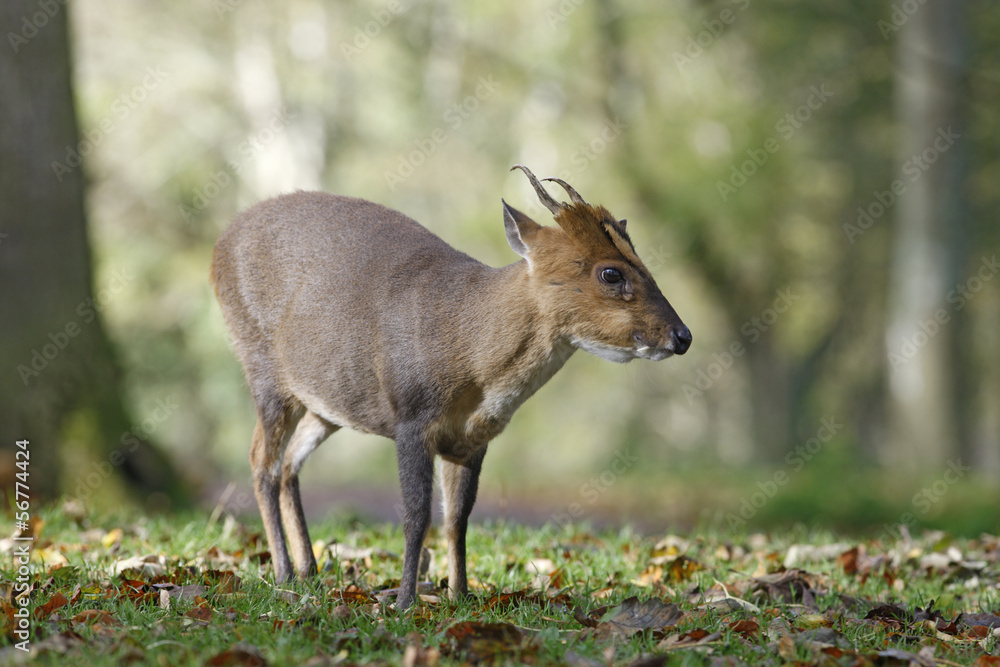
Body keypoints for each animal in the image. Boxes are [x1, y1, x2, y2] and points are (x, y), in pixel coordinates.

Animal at [211, 164, 692, 608]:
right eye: (611, 273)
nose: (682, 336)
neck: (469, 350)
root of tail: (218, 246)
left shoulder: (471, 440)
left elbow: (457, 517)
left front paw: (459, 596)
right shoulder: (411, 418)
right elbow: (416, 514)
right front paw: (405, 602)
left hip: (325, 405)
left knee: (289, 464)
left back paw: (309, 571)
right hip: (263, 370)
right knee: (262, 463)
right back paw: (284, 573)